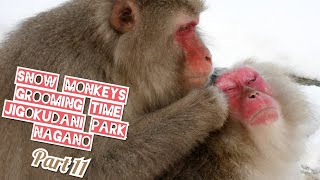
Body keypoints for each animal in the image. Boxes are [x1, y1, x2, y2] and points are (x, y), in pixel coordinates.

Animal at [0, 0, 230, 179]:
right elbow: (72, 169)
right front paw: (205, 106)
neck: (108, 57)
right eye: (184, 29)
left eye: (193, 25)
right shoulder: (68, 81)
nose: (207, 56)